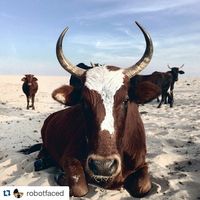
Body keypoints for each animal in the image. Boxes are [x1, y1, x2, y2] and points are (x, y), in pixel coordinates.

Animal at [34, 21, 160, 197]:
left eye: (126, 100)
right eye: (84, 101)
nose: (103, 166)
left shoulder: (141, 163)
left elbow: (144, 185)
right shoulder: (69, 157)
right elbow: (79, 187)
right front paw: (61, 176)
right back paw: (42, 160)